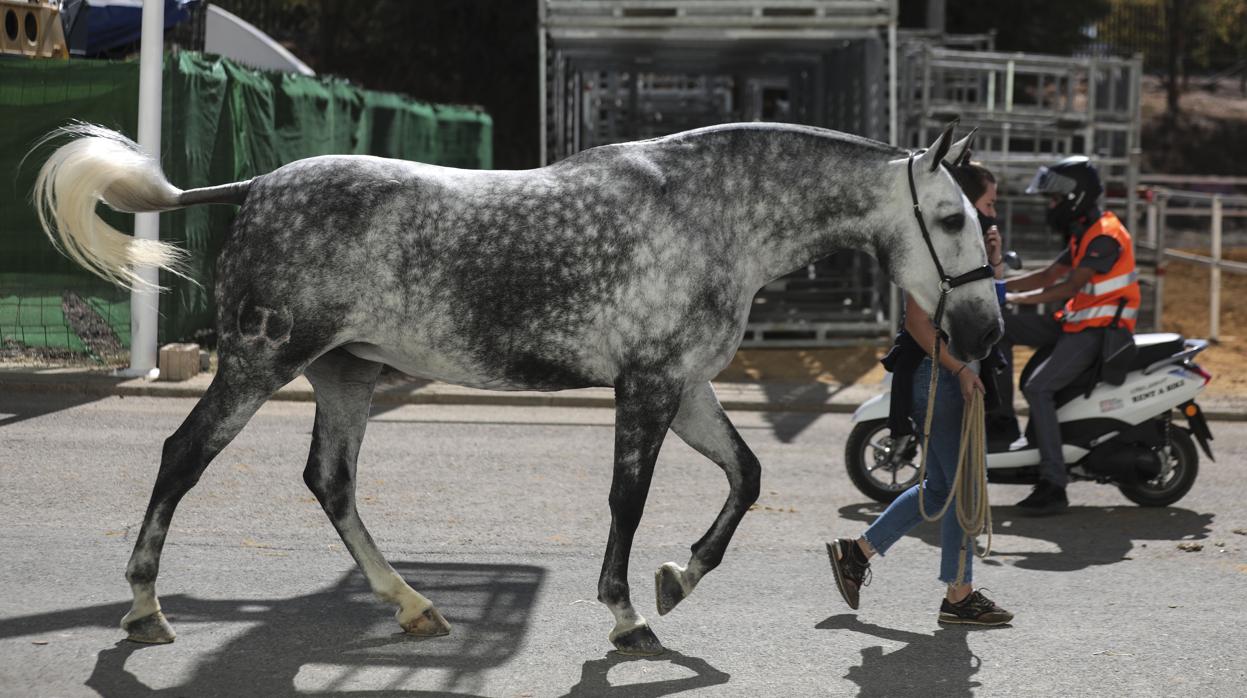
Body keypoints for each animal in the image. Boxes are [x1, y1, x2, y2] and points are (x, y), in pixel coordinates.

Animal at [31, 121, 1002, 653]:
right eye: (950, 218)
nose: (984, 334)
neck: (712, 213)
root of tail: (262, 183)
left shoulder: (684, 386)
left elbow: (747, 476)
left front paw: (676, 579)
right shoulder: (647, 387)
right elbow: (626, 500)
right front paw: (627, 617)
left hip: (347, 373)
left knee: (330, 482)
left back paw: (415, 607)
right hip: (259, 362)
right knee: (182, 457)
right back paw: (145, 609)